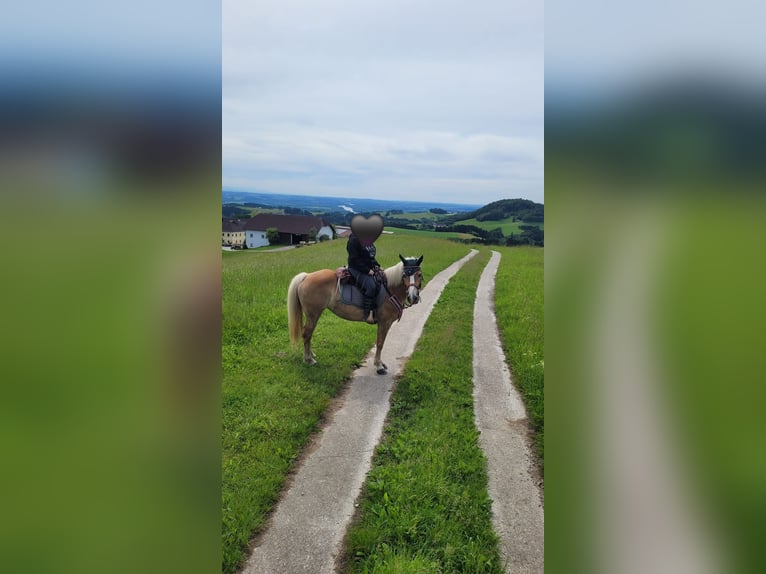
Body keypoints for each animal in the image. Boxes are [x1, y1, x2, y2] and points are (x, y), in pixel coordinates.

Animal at [288, 256, 426, 378]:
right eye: (404, 275)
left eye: (419, 274)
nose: (413, 297)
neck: (389, 289)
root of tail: (306, 276)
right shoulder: (384, 322)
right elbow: (380, 343)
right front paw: (378, 366)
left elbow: (381, 342)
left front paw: (380, 363)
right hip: (313, 314)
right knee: (307, 334)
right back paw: (309, 359)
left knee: (309, 335)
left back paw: (311, 355)